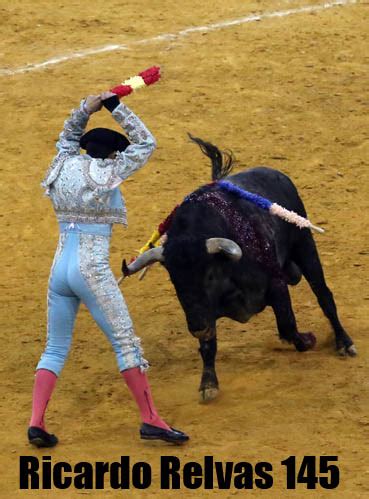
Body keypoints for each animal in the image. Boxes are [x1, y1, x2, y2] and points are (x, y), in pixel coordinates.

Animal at [125, 137, 356, 402]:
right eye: (175, 280)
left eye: (209, 275)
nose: (197, 328)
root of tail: (277, 175)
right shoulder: (204, 312)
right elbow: (208, 346)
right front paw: (208, 384)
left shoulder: (276, 285)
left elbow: (287, 325)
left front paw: (307, 340)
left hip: (305, 244)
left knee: (324, 295)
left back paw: (344, 342)